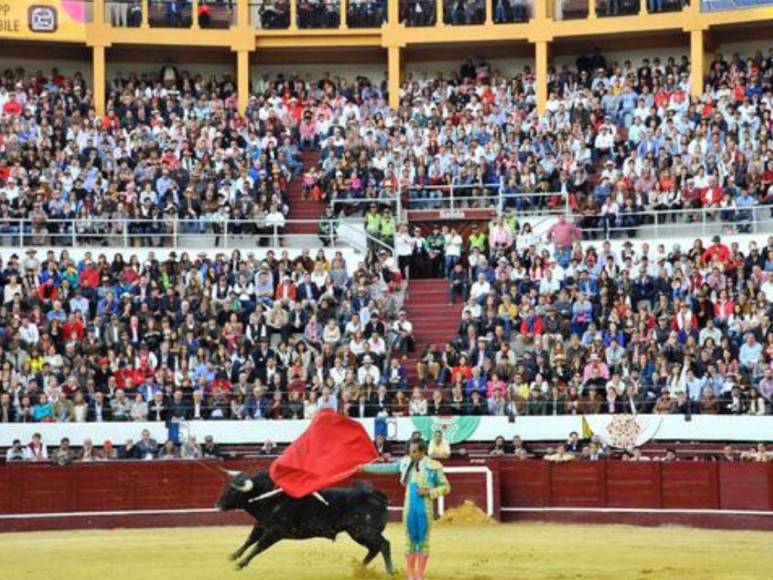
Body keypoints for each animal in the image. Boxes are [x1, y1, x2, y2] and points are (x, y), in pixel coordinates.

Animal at [214, 468, 392, 572]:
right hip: (357, 533)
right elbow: (249, 540)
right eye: (227, 487)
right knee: (374, 549)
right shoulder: (261, 524)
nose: (217, 505)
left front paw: (240, 564)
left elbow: (258, 546)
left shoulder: (275, 531)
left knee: (384, 545)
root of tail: (376, 496)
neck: (270, 496)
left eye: (233, 491)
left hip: (365, 531)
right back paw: (359, 568)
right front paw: (234, 556)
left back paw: (390, 571)